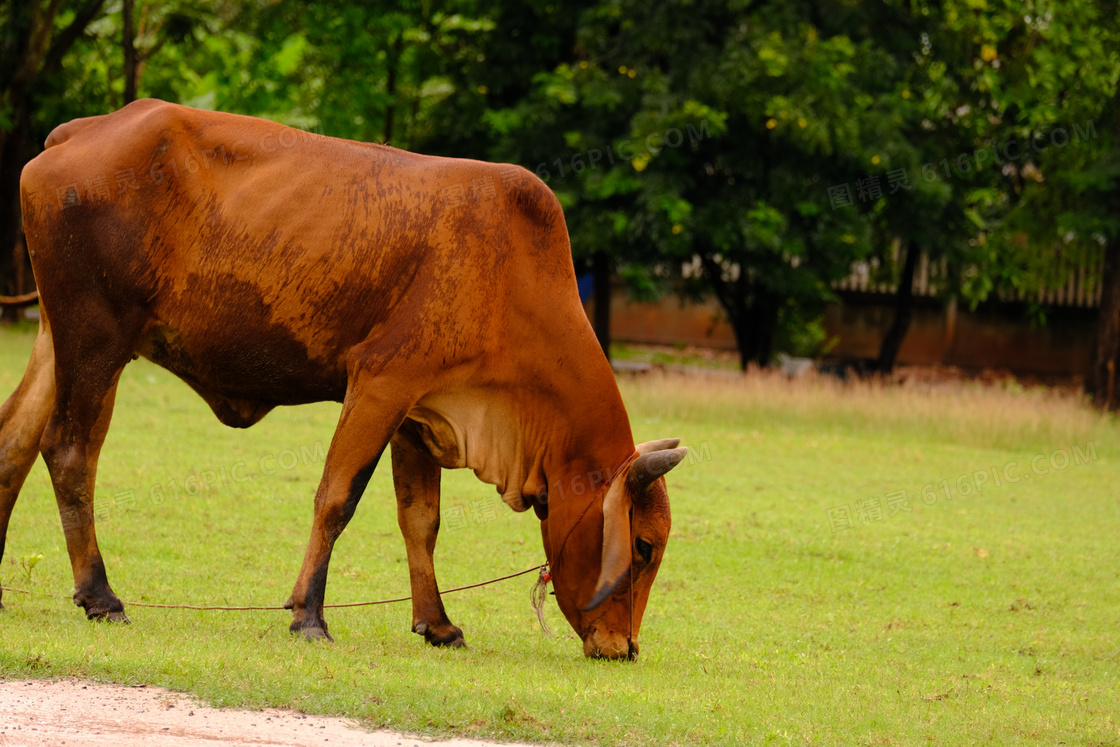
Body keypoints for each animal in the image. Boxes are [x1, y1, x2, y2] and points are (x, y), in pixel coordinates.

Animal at [0, 99, 685, 658]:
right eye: (644, 547)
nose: (625, 649)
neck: (510, 276)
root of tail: (79, 131)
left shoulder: (418, 410)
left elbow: (421, 519)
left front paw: (437, 624)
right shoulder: (380, 382)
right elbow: (336, 498)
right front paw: (308, 616)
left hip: (58, 339)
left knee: (15, 442)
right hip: (97, 339)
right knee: (69, 451)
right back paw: (100, 595)